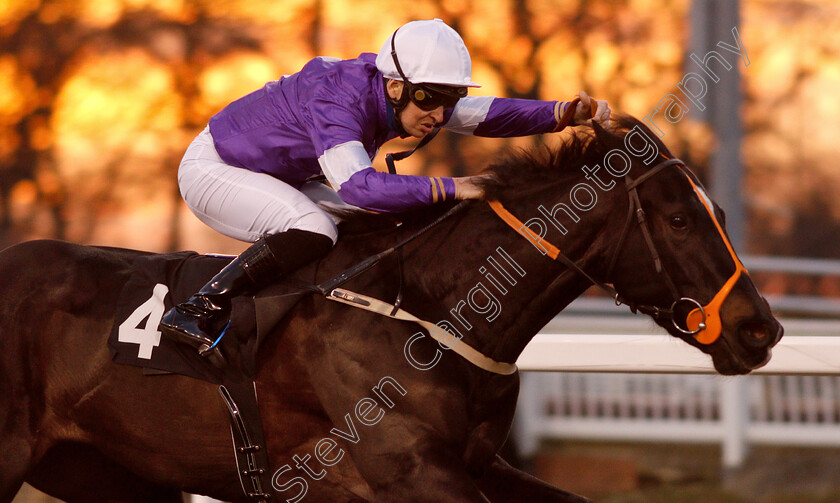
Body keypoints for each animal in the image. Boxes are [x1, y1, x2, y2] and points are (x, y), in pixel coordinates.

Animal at [0, 116, 784, 502]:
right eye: (679, 220)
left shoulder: (480, 463)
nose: (763, 329)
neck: (427, 310)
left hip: (108, 474)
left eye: (719, 213)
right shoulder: (409, 472)